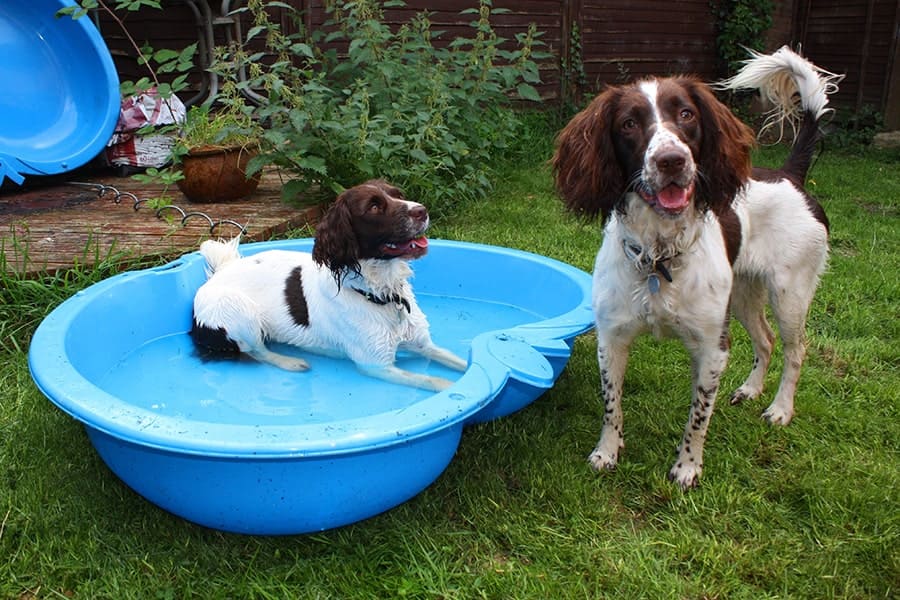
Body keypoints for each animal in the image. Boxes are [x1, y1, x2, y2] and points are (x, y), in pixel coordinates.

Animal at [192, 180, 468, 392]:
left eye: (398, 195)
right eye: (374, 206)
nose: (422, 210)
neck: (381, 293)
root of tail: (219, 272)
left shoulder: (423, 345)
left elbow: (461, 363)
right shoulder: (376, 365)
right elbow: (434, 381)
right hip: (238, 311)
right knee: (257, 351)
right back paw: (291, 362)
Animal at [552, 47, 840, 488]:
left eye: (686, 114)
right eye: (629, 123)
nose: (671, 160)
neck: (658, 257)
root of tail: (789, 175)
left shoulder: (711, 347)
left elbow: (698, 418)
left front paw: (687, 467)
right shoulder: (612, 338)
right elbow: (611, 404)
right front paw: (607, 452)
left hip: (789, 294)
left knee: (795, 350)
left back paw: (780, 409)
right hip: (743, 294)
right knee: (766, 340)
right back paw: (751, 390)